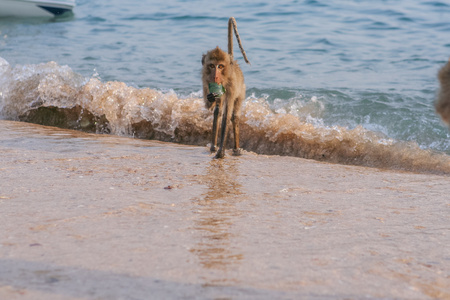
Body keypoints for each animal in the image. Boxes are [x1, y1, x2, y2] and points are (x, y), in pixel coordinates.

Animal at [202, 16, 251, 158]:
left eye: (220, 66)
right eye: (212, 66)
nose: (215, 76)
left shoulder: (232, 87)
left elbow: (226, 117)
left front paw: (221, 152)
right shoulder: (206, 81)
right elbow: (210, 107)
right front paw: (210, 98)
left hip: (241, 90)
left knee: (234, 115)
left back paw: (236, 149)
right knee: (217, 111)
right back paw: (213, 146)